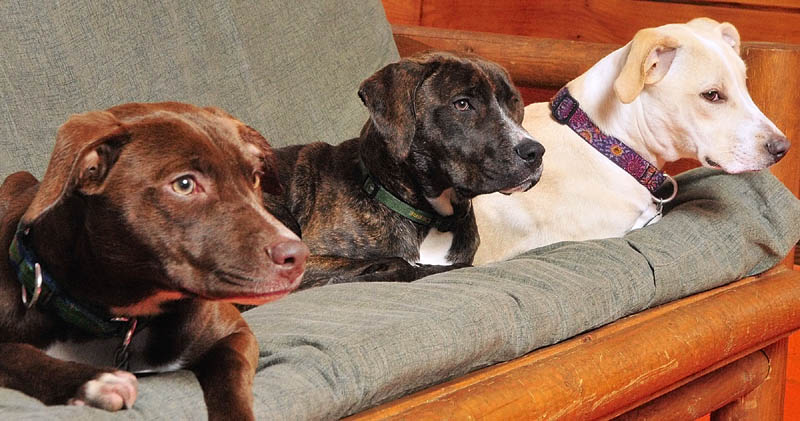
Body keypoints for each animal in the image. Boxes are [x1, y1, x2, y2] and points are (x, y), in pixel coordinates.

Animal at [0, 102, 308, 420]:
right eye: (184, 184)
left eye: (255, 177)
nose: (298, 255)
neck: (123, 316)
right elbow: (15, 353)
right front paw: (92, 381)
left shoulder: (237, 334)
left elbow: (230, 372)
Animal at [262, 50, 544, 288]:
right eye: (462, 104)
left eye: (513, 102)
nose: (536, 152)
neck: (431, 217)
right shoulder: (309, 259)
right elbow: (402, 263)